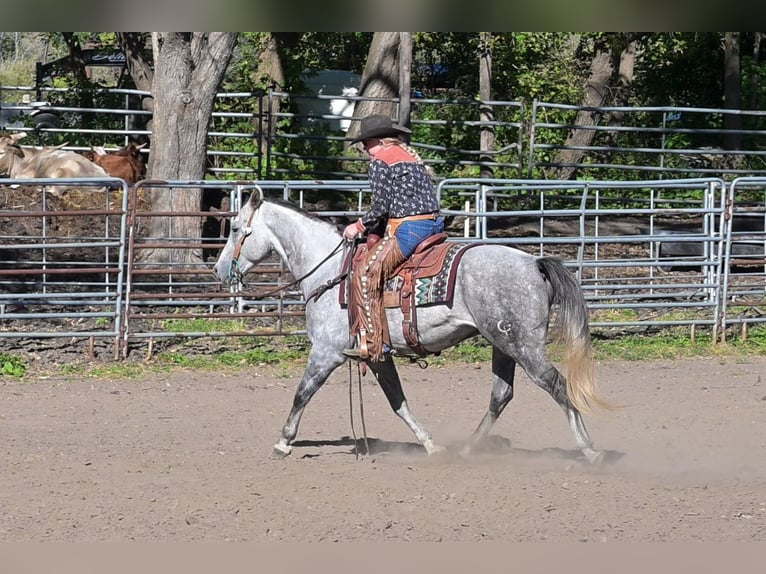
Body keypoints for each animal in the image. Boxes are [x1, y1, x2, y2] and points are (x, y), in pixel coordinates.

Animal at [213, 189, 611, 464]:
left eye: (235, 228)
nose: (217, 270)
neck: (331, 271)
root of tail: (533, 263)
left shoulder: (326, 352)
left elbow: (302, 393)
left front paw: (283, 442)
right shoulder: (376, 355)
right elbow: (398, 401)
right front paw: (431, 445)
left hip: (524, 346)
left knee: (557, 385)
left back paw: (590, 450)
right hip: (503, 344)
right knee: (501, 395)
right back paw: (468, 448)